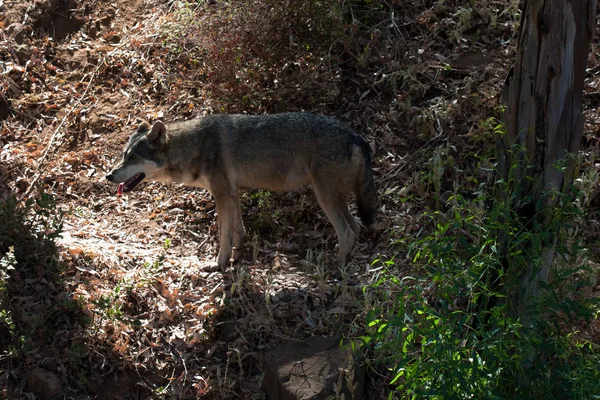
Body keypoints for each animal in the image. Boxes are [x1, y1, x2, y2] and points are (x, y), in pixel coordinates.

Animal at [105, 112, 378, 270]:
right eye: (123, 156)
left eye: (132, 158)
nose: (109, 175)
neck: (195, 147)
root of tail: (356, 136)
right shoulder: (231, 194)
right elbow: (239, 231)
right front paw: (236, 258)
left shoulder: (221, 196)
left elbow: (223, 235)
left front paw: (219, 264)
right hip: (335, 199)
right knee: (355, 227)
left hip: (324, 197)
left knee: (347, 231)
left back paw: (336, 270)